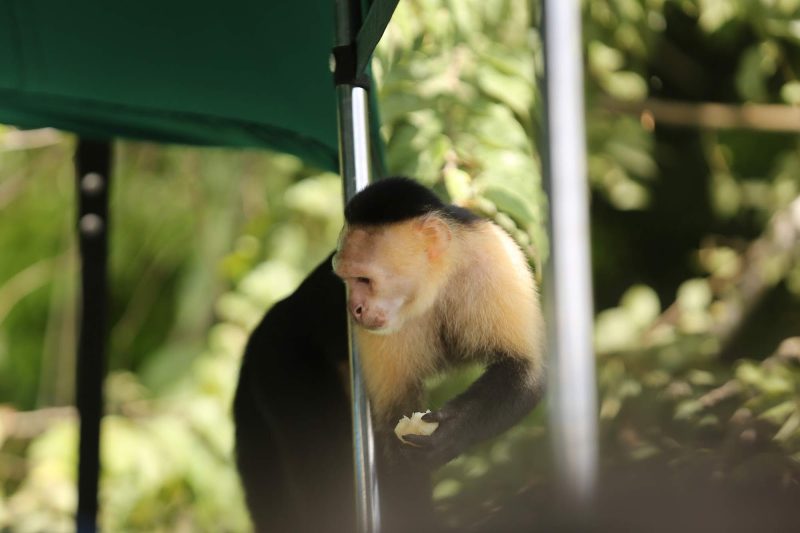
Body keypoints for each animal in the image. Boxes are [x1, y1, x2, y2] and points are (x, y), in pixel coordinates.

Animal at [233, 176, 545, 533]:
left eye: (364, 279)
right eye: (345, 279)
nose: (353, 308)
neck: (436, 283)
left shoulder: (497, 257)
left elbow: (523, 372)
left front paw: (452, 432)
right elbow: (392, 435)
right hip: (279, 356)